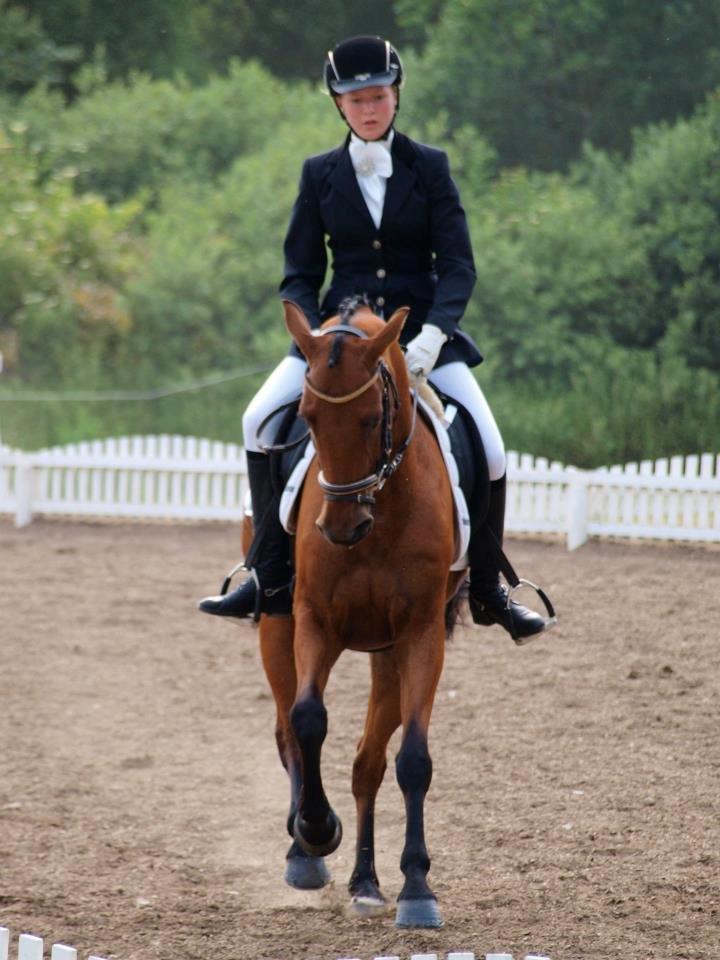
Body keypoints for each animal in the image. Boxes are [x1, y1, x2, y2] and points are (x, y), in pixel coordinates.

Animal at [256, 302, 464, 928]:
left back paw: (367, 882)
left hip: (388, 657)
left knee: (368, 761)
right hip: (276, 628)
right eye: (307, 417)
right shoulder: (313, 622)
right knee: (287, 730)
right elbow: (307, 720)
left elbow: (412, 759)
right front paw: (316, 831)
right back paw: (305, 854)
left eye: (374, 419)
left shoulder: (420, 635)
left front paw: (418, 887)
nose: (341, 528)